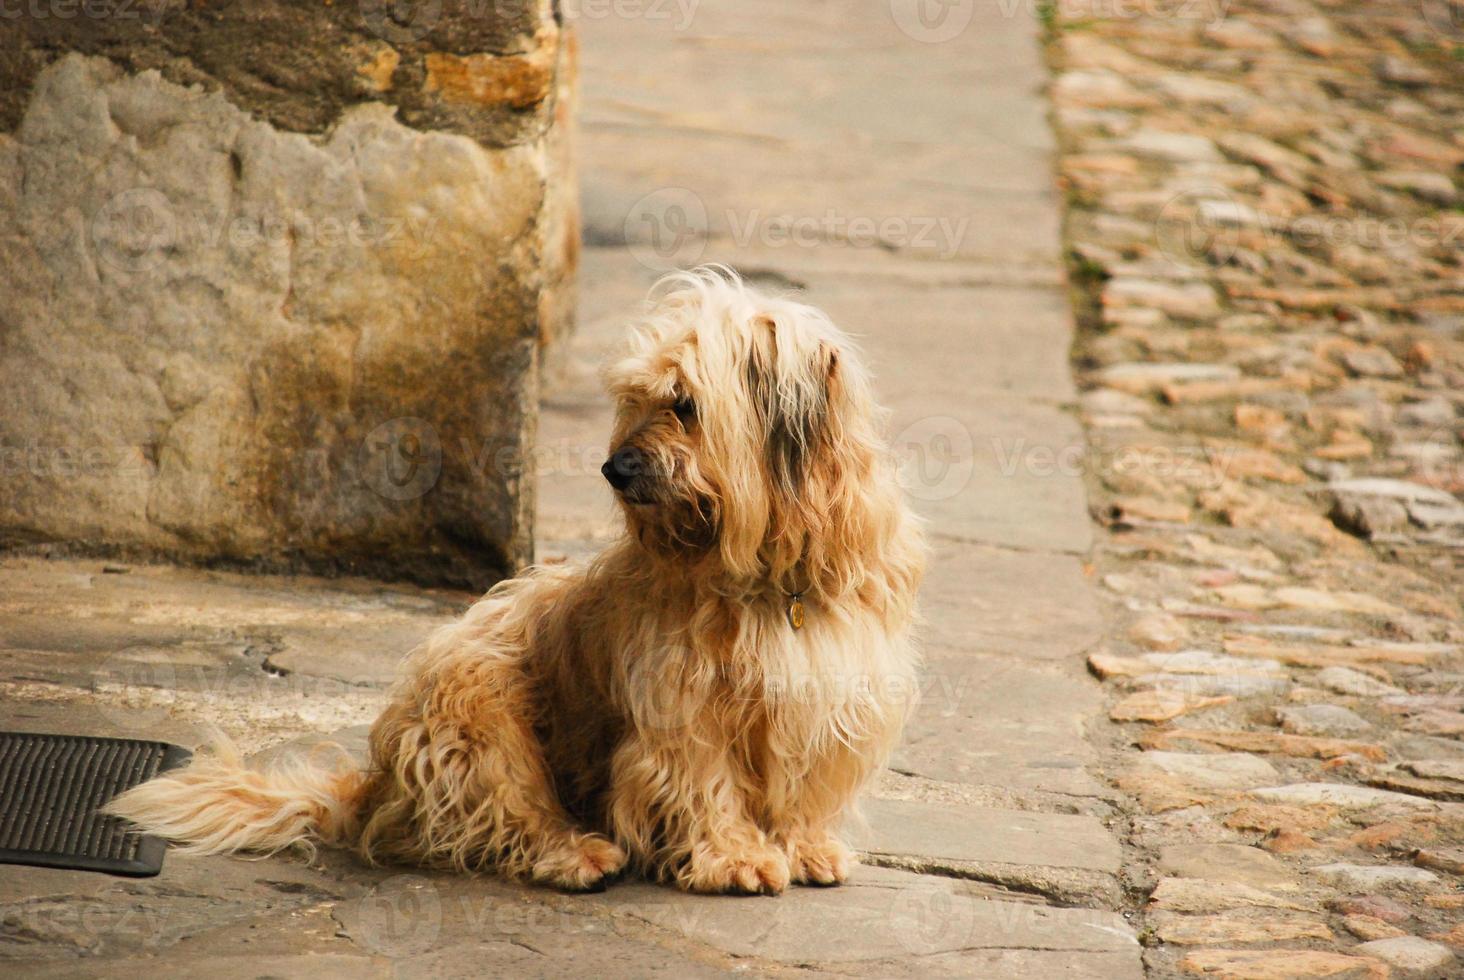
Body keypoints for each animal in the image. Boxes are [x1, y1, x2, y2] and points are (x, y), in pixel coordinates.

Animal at [108, 269, 919, 896]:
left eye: (684, 404)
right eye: (636, 399)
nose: (616, 468)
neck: (772, 573)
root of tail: (374, 789)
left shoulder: (826, 692)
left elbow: (797, 784)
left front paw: (802, 844)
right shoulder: (682, 700)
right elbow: (703, 777)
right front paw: (735, 857)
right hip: (476, 705)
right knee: (504, 816)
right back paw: (576, 853)